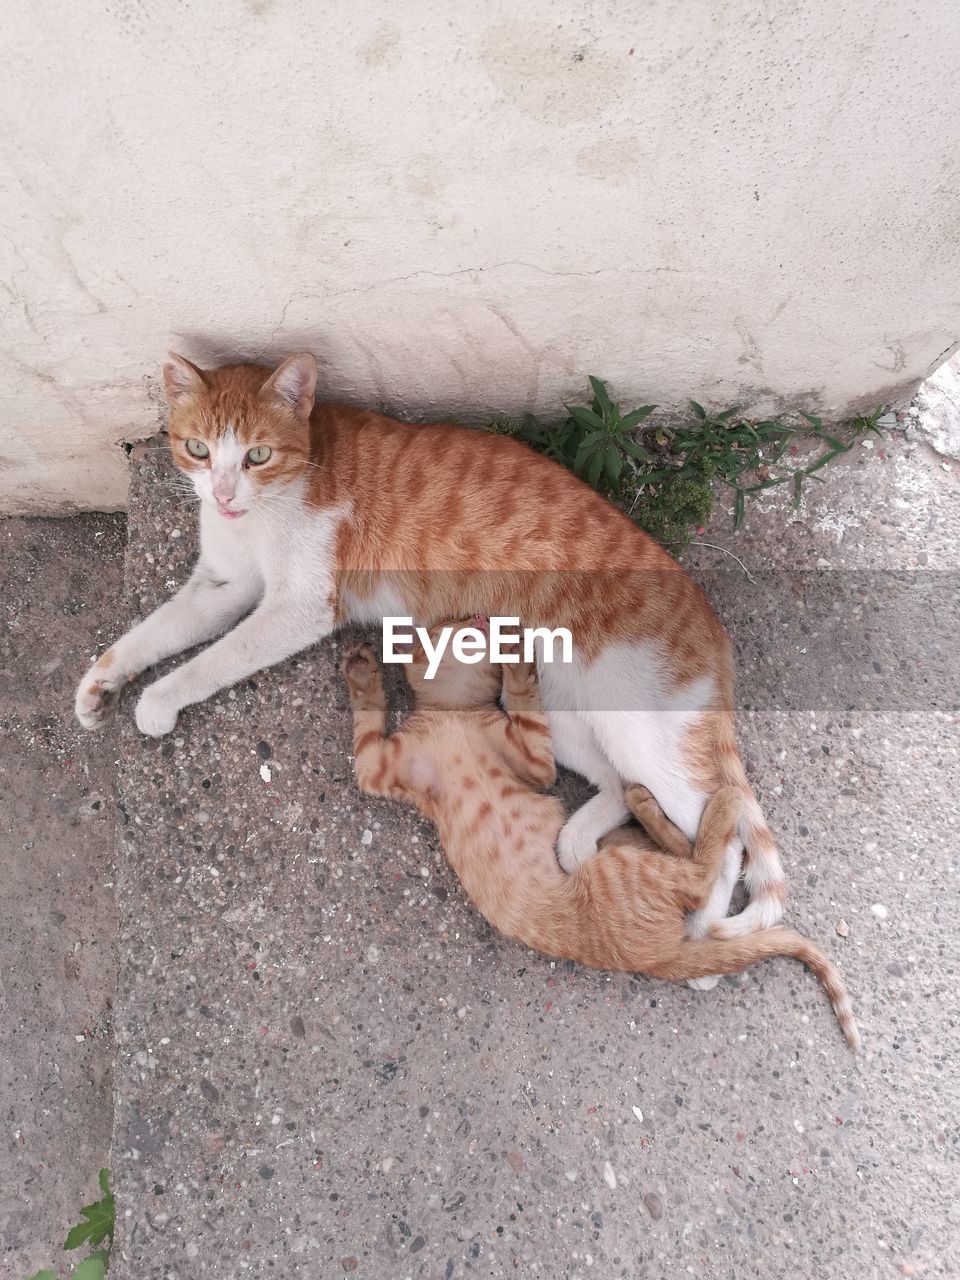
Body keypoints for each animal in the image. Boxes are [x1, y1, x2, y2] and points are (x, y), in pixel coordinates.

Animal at [77, 355, 788, 947]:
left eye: (256, 455)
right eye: (198, 449)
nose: (223, 495)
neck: (276, 496)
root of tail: (707, 620)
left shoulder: (297, 608)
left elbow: (209, 661)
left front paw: (159, 700)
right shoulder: (224, 587)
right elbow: (154, 633)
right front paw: (100, 685)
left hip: (642, 728)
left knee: (722, 833)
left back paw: (699, 927)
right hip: (559, 708)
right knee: (618, 782)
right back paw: (580, 841)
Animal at [343, 634, 860, 1054]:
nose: (484, 620)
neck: (453, 715)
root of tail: (659, 959)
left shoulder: (501, 762)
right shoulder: (398, 768)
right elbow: (373, 726)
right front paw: (365, 676)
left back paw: (647, 806)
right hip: (618, 870)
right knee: (698, 871)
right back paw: (709, 803)